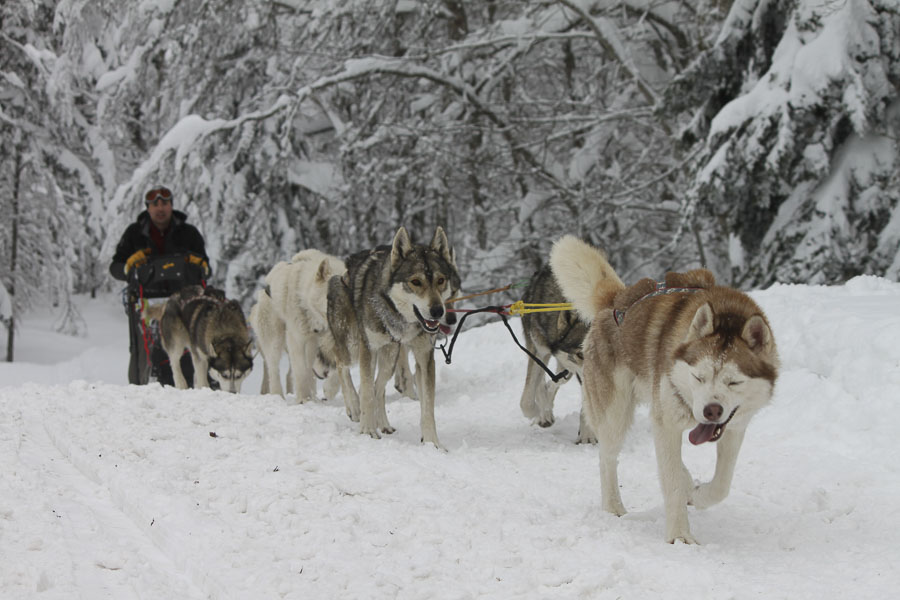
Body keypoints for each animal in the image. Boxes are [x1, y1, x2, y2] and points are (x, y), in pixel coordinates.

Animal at [326, 227, 460, 448]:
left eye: (441, 280)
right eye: (416, 282)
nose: (438, 311)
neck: (402, 320)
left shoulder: (424, 356)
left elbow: (427, 406)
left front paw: (432, 444)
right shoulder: (368, 348)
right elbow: (366, 393)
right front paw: (367, 431)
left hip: (390, 358)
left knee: (377, 387)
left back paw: (383, 424)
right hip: (353, 346)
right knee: (340, 363)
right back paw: (354, 407)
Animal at [516, 264, 596, 442]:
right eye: (581, 354)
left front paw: (587, 436)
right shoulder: (538, 350)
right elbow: (527, 400)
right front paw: (540, 412)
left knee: (558, 380)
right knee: (542, 382)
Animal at [552, 237, 776, 548]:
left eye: (733, 382)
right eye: (698, 377)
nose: (711, 411)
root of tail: (616, 300)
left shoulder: (734, 428)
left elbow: (722, 484)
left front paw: (698, 494)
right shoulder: (667, 424)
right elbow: (672, 482)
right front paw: (680, 535)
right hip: (615, 414)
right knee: (607, 459)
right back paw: (613, 505)